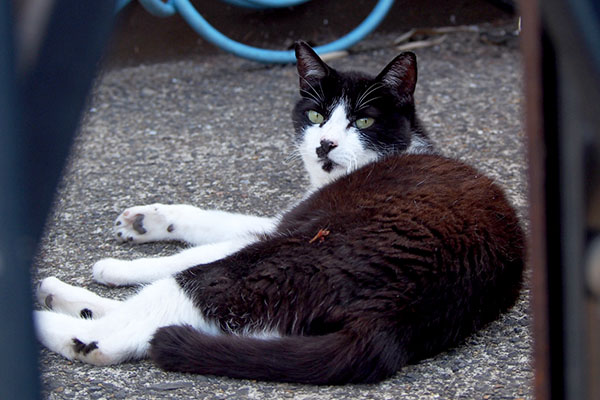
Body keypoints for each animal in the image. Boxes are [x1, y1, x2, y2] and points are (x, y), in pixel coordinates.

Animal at [35, 40, 524, 384]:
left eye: (364, 121)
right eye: (316, 115)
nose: (324, 144)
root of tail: (395, 318)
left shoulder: (292, 226)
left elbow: (193, 250)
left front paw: (117, 264)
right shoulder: (284, 222)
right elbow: (215, 223)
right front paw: (143, 222)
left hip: (278, 263)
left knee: (113, 335)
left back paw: (47, 313)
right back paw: (71, 302)